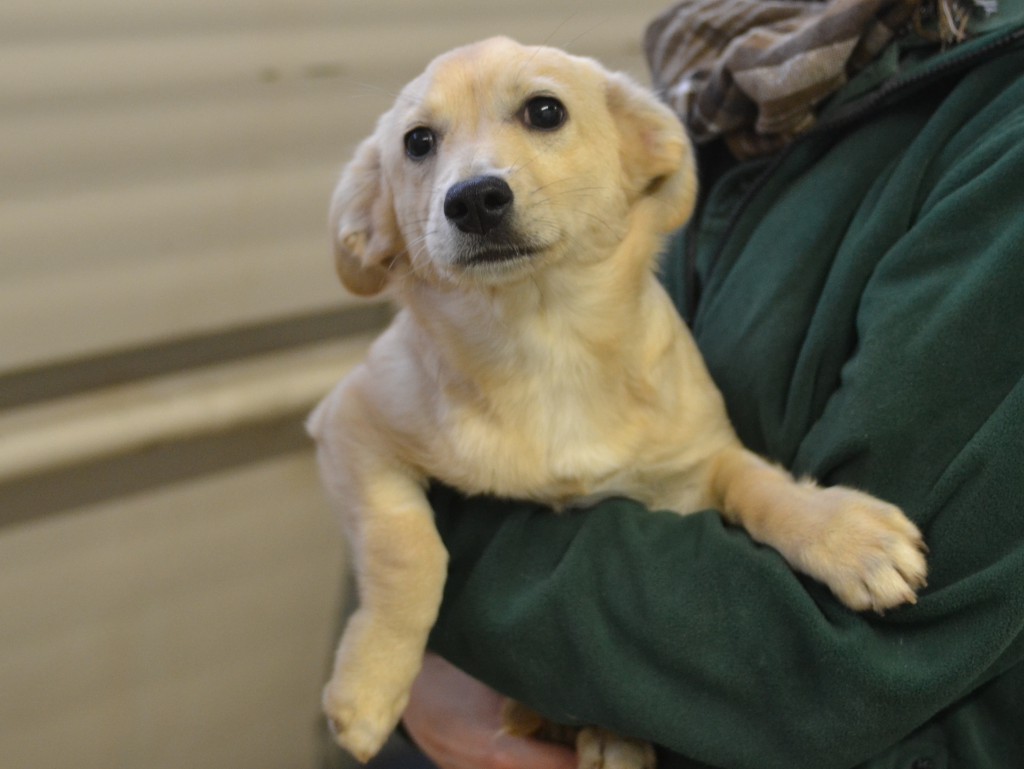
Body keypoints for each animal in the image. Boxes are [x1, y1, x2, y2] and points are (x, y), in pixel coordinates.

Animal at [309, 37, 929, 769]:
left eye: (545, 110)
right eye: (417, 142)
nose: (473, 199)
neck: (546, 341)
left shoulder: (701, 458)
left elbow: (762, 485)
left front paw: (846, 535)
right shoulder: (352, 424)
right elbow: (405, 548)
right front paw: (370, 683)